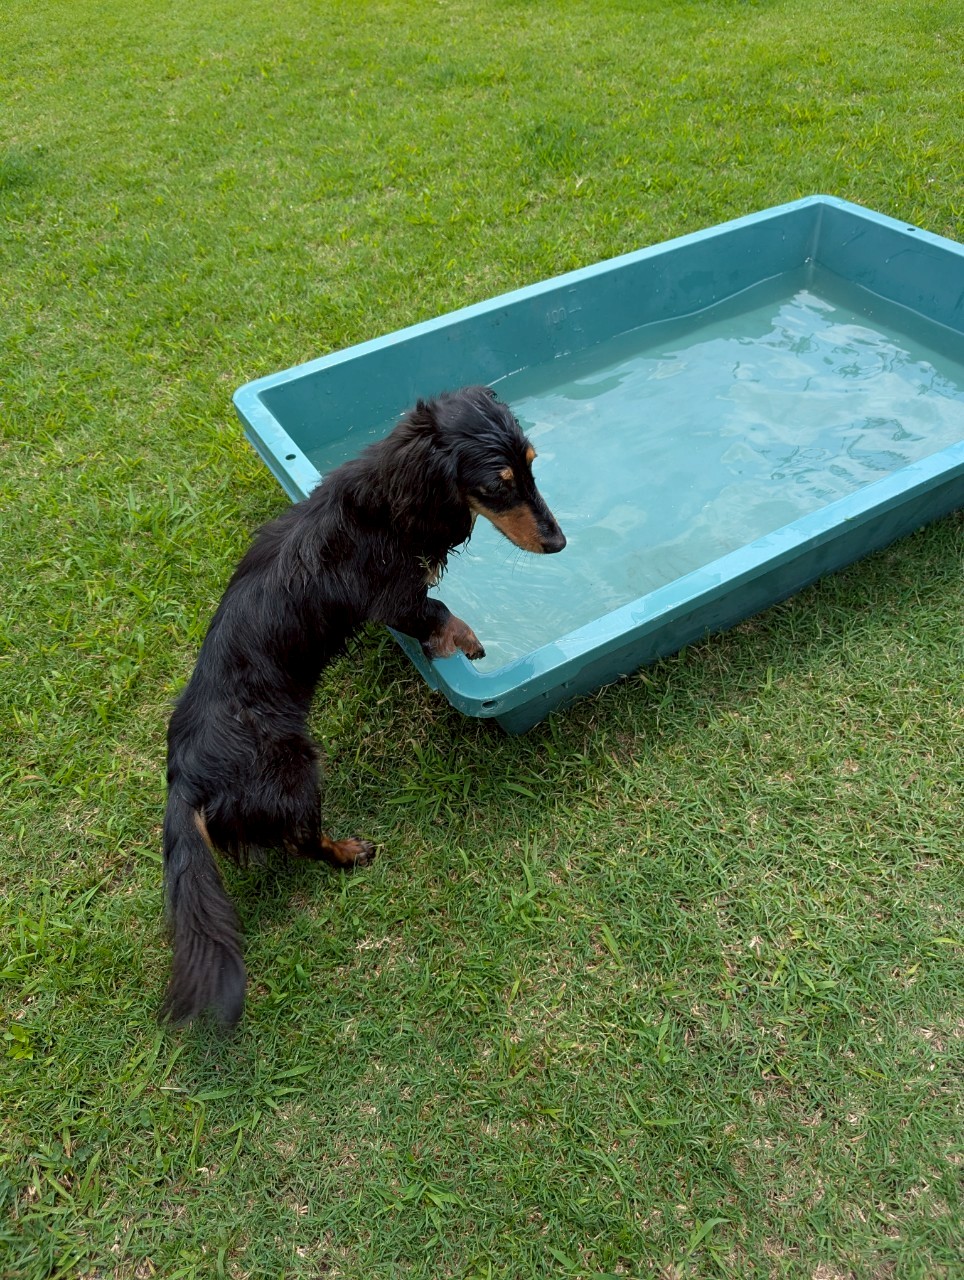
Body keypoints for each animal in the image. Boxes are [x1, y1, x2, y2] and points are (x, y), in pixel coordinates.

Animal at [160, 385, 566, 1027]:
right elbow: (438, 611)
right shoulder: (393, 595)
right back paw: (350, 852)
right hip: (296, 772)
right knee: (302, 840)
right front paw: (466, 642)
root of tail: (186, 780)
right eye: (499, 485)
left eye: (531, 464)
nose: (559, 542)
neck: (383, 502)